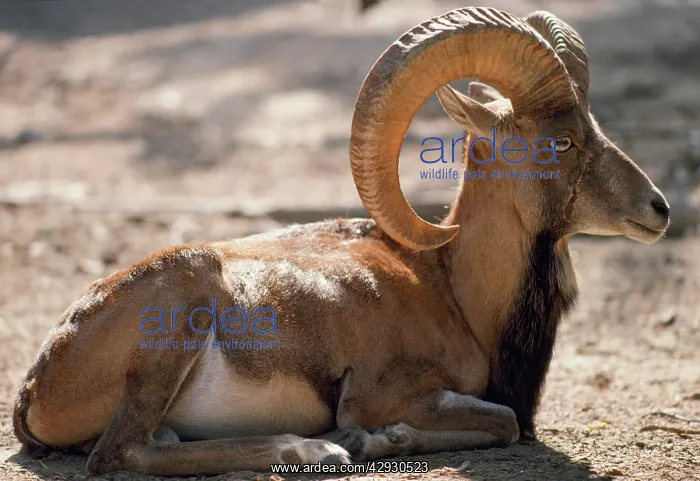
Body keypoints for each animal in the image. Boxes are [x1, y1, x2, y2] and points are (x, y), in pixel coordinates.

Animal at [13, 6, 669, 476]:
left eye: (595, 127)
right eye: (561, 142)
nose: (658, 209)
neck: (452, 291)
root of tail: (38, 381)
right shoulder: (387, 391)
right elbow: (504, 421)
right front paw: (375, 438)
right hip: (178, 312)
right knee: (123, 453)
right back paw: (313, 451)